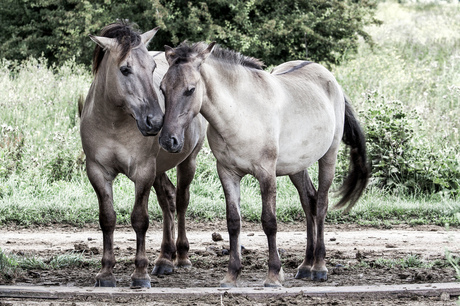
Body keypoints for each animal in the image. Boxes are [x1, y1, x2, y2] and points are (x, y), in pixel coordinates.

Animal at [80, 22, 206, 288]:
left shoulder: (143, 172)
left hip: (187, 161)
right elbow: (107, 218)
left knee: (181, 201)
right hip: (159, 170)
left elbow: (140, 219)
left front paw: (140, 274)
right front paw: (105, 273)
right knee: (168, 200)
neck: (114, 123)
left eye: (153, 67)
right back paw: (165, 259)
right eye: (125, 69)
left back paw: (181, 256)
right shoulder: (97, 172)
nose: (156, 121)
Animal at [159, 42, 370, 286]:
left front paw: (273, 274)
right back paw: (305, 266)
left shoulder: (266, 173)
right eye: (162, 88)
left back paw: (319, 267)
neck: (241, 112)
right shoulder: (227, 173)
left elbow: (269, 222)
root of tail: (329, 78)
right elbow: (233, 222)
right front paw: (232, 274)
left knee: (321, 204)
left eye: (190, 89)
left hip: (329, 156)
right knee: (309, 202)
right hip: (297, 166)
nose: (168, 140)